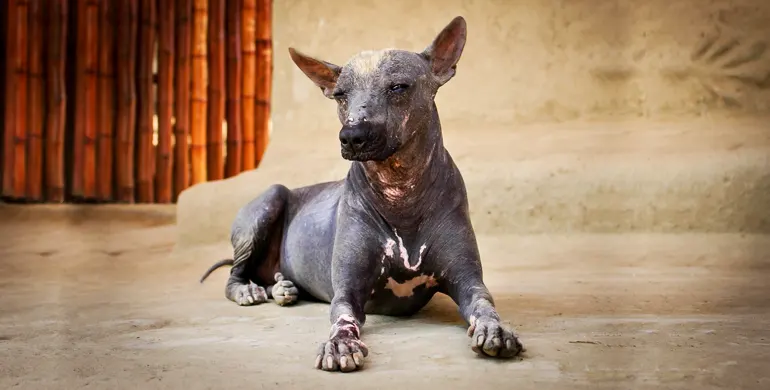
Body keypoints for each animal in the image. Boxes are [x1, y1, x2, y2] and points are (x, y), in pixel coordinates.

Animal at [198, 16, 520, 372]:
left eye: (398, 87)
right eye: (340, 94)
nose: (352, 136)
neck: (400, 192)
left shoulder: (469, 281)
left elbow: (484, 305)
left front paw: (495, 329)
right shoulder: (347, 291)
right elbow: (343, 318)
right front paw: (340, 344)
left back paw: (283, 287)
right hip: (269, 201)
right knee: (235, 274)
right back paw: (249, 290)